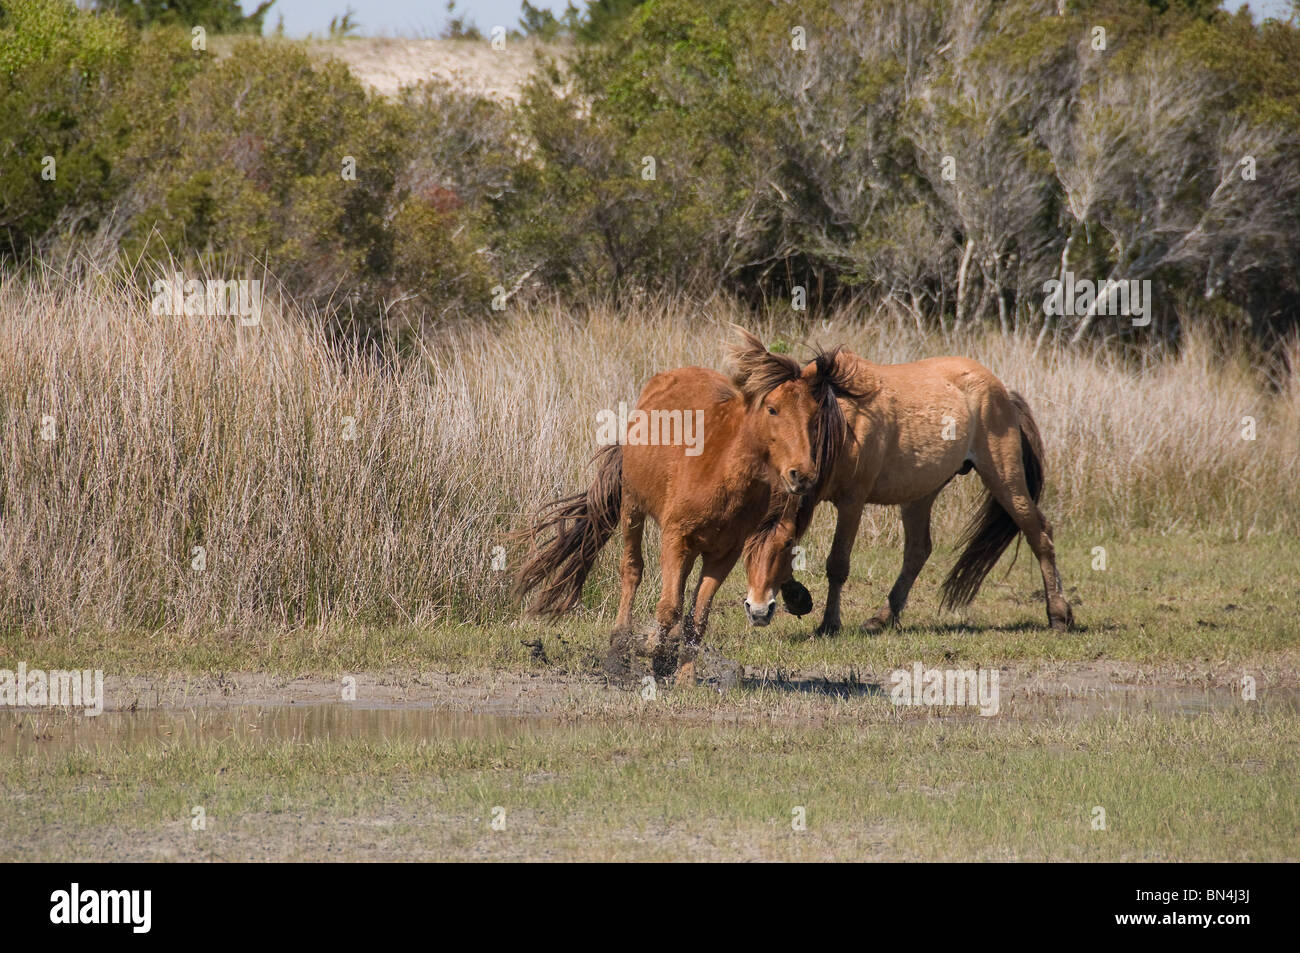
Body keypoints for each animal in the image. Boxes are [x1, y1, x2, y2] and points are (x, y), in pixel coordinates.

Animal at [517, 328, 852, 686]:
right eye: (773, 409)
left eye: (814, 416)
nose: (801, 474)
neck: (723, 471)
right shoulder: (675, 539)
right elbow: (669, 608)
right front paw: (653, 652)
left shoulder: (723, 554)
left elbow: (697, 616)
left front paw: (684, 675)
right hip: (633, 510)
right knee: (632, 571)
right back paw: (621, 647)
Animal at [743, 348, 1076, 631]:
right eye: (772, 409)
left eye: (811, 417)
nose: (757, 611)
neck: (842, 426)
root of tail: (1004, 391)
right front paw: (797, 597)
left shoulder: (852, 503)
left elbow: (837, 564)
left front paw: (829, 623)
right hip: (921, 495)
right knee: (918, 550)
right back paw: (882, 617)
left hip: (1005, 479)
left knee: (1039, 534)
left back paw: (1058, 614)